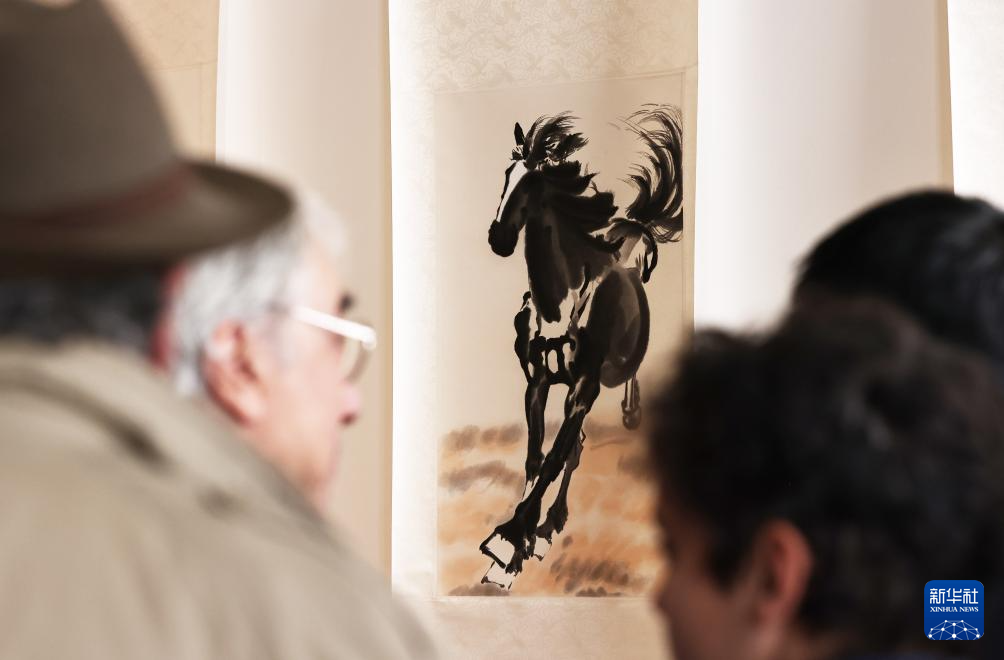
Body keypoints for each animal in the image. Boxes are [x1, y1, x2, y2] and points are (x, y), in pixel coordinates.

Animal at [480, 105, 684, 587]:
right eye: (507, 174)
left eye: (534, 184)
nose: (498, 239)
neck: (560, 302)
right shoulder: (536, 384)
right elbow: (537, 457)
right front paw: (522, 539)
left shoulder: (582, 388)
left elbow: (556, 457)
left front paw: (509, 542)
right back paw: (552, 522)